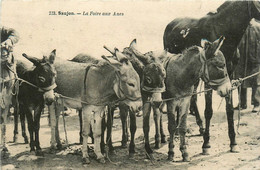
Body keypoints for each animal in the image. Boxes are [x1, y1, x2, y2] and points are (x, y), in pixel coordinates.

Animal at [162, 0, 260, 154]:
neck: (224, 29)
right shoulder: (209, 78)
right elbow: (208, 111)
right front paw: (206, 144)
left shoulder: (228, 76)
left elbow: (229, 110)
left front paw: (233, 142)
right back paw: (180, 130)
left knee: (192, 98)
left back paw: (199, 128)